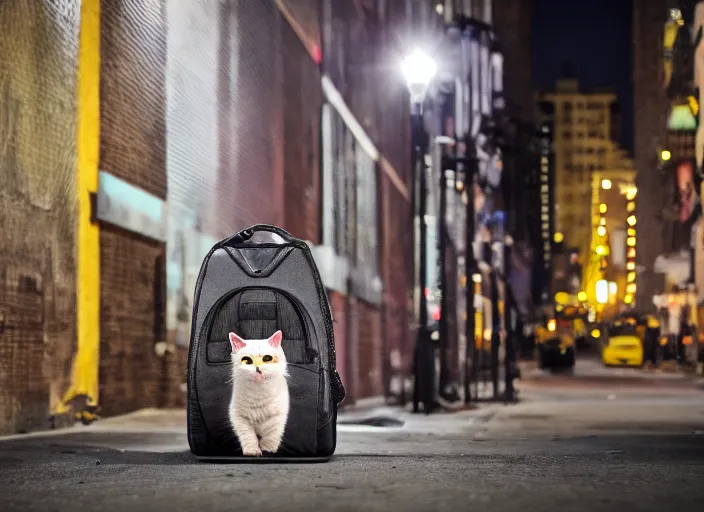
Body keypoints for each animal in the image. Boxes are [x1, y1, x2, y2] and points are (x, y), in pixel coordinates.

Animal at [228, 330, 288, 458]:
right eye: (247, 360)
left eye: (267, 358)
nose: (257, 368)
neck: (259, 394)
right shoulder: (239, 417)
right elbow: (248, 437)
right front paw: (252, 452)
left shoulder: (277, 416)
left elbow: (271, 435)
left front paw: (268, 449)